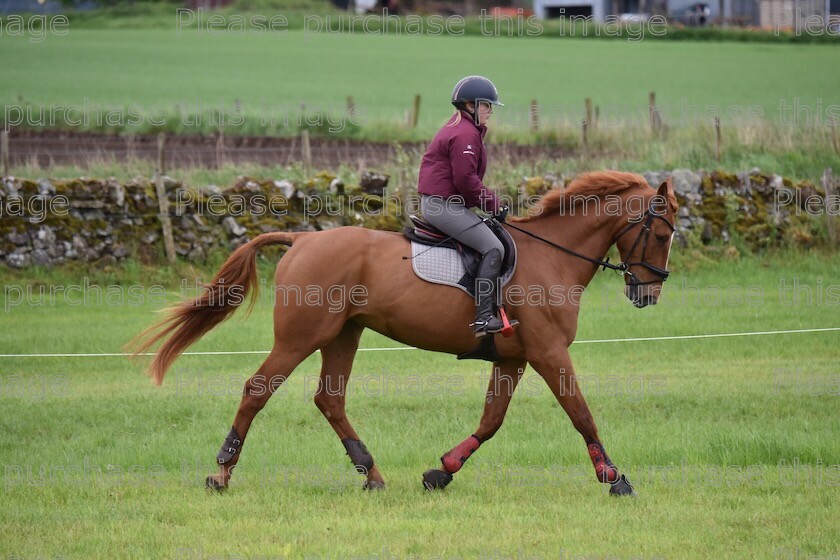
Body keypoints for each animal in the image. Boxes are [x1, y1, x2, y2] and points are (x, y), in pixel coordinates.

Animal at [133, 170, 684, 494]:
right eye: (661, 233)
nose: (650, 293)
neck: (553, 257)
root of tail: (300, 241)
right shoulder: (549, 352)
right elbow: (581, 414)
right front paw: (614, 477)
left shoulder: (513, 358)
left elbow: (491, 421)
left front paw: (442, 470)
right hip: (300, 338)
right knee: (257, 389)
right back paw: (221, 472)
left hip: (343, 335)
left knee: (329, 398)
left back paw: (372, 475)